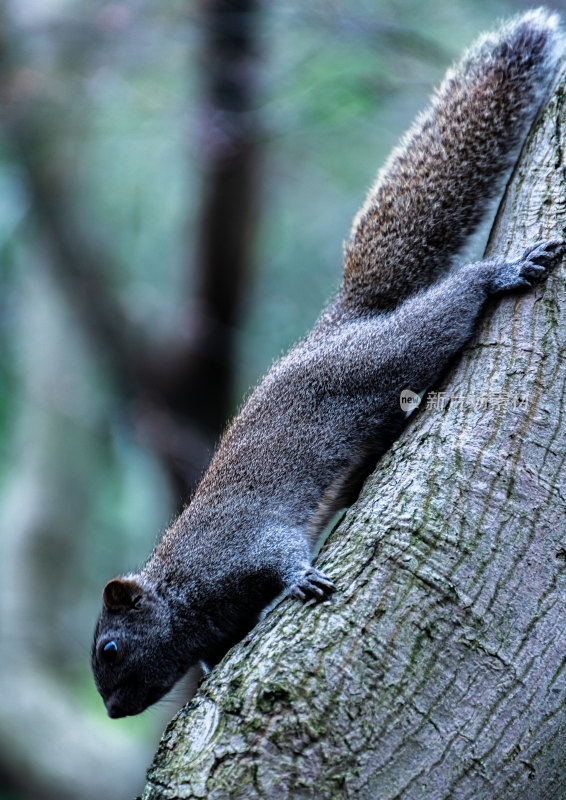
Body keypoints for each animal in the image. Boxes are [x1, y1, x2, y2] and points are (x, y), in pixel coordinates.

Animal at [92, 7, 564, 720]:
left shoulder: (239, 544)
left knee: (442, 312)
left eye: (111, 649)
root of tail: (334, 327)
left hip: (387, 355)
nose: (115, 711)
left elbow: (282, 554)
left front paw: (300, 579)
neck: (180, 589)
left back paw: (499, 273)